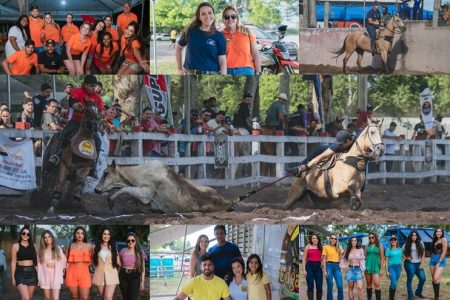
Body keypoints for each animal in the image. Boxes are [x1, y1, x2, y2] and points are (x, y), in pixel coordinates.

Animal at [95, 161, 236, 212]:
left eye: (105, 173)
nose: (95, 189)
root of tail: (226, 202)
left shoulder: (147, 193)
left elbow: (124, 189)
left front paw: (110, 201)